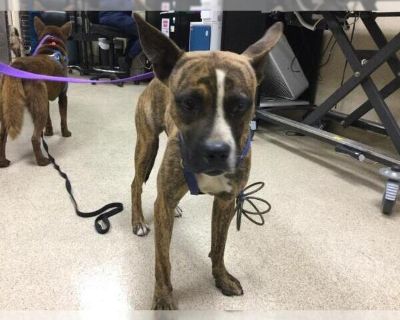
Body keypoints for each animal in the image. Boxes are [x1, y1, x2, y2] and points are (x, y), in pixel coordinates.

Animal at [0, 17, 72, 169]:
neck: (51, 46)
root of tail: (18, 66)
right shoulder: (63, 96)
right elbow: (63, 118)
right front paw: (66, 133)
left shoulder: (46, 100)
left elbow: (49, 120)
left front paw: (49, 132)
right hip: (39, 107)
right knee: (34, 138)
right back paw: (42, 161)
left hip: (7, 108)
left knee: (2, 136)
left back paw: (3, 162)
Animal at [130, 13, 282, 310]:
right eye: (188, 103)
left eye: (240, 105)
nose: (216, 151)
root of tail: (155, 78)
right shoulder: (164, 204)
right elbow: (162, 261)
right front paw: (163, 297)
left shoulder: (226, 202)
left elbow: (219, 246)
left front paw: (221, 279)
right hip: (147, 144)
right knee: (136, 185)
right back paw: (138, 221)